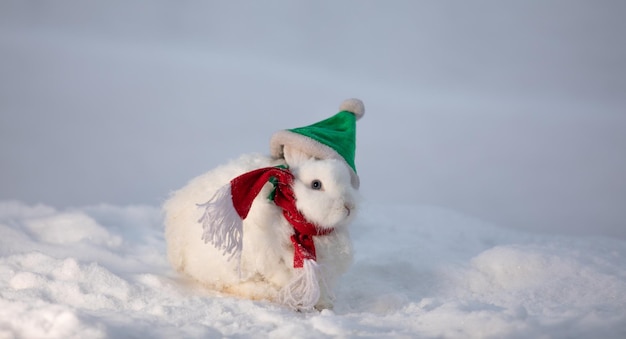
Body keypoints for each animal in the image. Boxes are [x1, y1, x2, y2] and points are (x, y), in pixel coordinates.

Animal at [162, 153, 356, 310]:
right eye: (316, 184)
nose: (349, 206)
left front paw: (323, 305)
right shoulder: (270, 254)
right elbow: (282, 276)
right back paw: (265, 292)